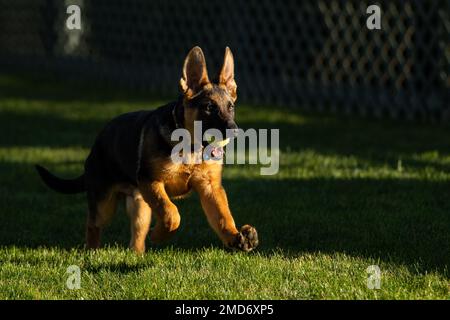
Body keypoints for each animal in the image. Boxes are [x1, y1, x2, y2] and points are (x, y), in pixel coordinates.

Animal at [35, 46, 258, 254]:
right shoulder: (151, 181)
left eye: (230, 107)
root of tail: (96, 144)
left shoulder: (210, 188)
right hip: (104, 204)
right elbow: (172, 213)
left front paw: (236, 237)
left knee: (137, 234)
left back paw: (136, 255)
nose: (235, 131)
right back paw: (92, 251)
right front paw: (159, 235)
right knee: (93, 223)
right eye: (209, 107)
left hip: (140, 206)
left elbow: (222, 216)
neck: (190, 148)